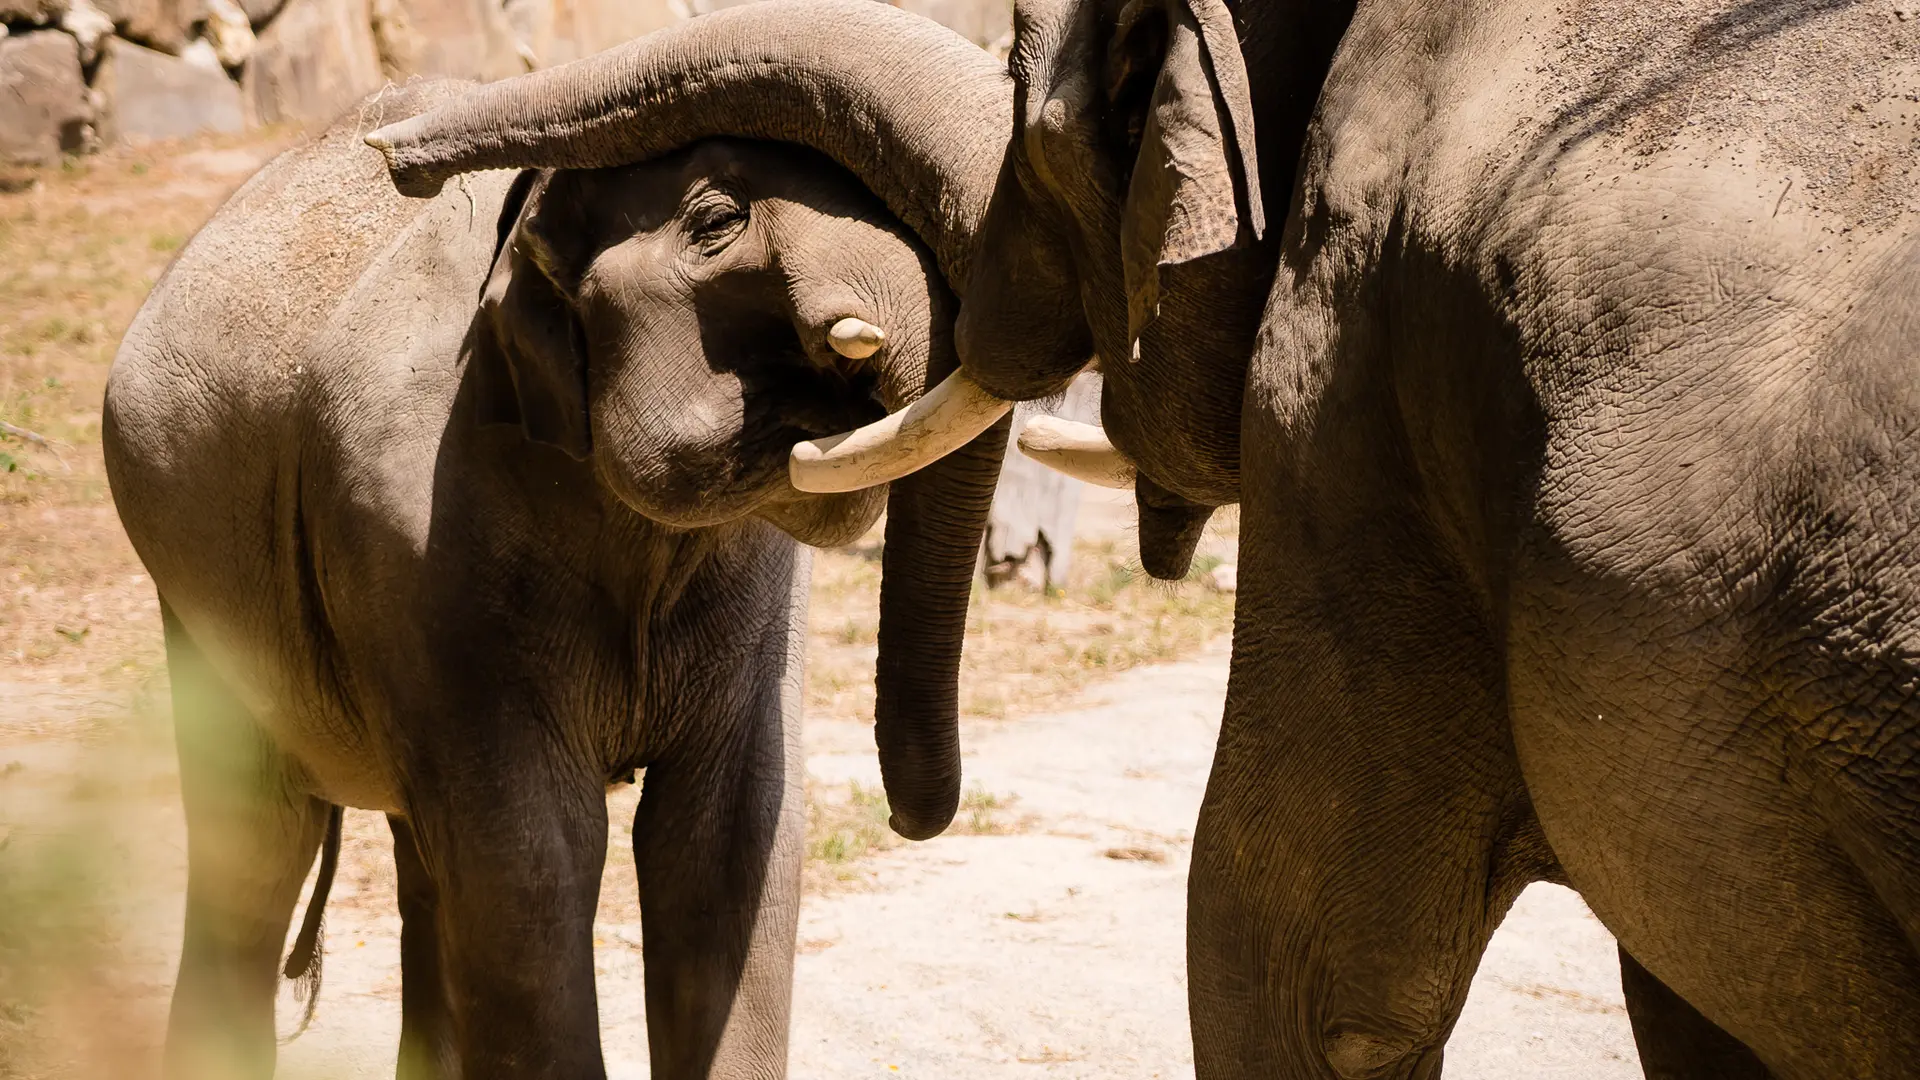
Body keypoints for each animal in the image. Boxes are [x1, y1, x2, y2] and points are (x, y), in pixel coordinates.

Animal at [101, 8, 1024, 1070]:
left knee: (418, 863)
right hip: (191, 591)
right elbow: (534, 861)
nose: (914, 815)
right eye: (717, 222)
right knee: (259, 847)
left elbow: (726, 848)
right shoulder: (415, 546)